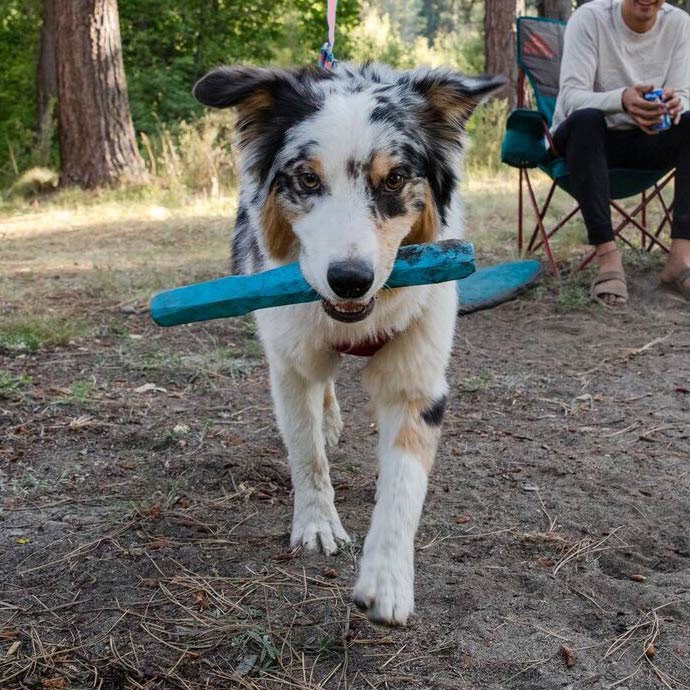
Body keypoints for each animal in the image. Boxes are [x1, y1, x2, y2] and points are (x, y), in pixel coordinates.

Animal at [192, 63, 500, 624]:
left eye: (395, 178)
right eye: (308, 179)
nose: (350, 281)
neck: (353, 321)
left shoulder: (417, 380)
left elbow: (404, 485)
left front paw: (388, 581)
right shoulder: (290, 360)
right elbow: (305, 450)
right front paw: (317, 525)